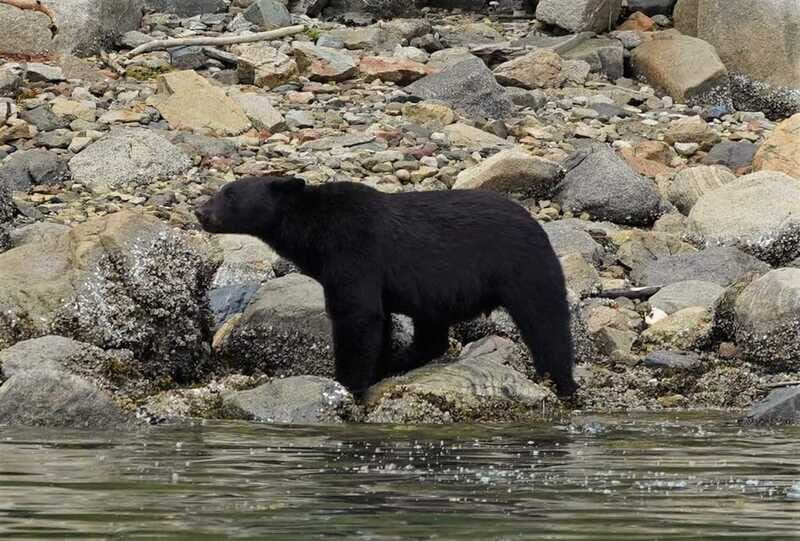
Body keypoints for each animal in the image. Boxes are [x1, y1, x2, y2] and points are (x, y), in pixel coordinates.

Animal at [195, 175, 577, 398]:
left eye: (230, 194)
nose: (200, 211)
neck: (313, 229)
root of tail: (538, 224)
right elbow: (377, 322)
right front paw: (375, 368)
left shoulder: (352, 250)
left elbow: (356, 315)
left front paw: (347, 383)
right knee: (432, 334)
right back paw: (399, 362)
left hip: (523, 267)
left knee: (546, 323)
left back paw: (562, 382)